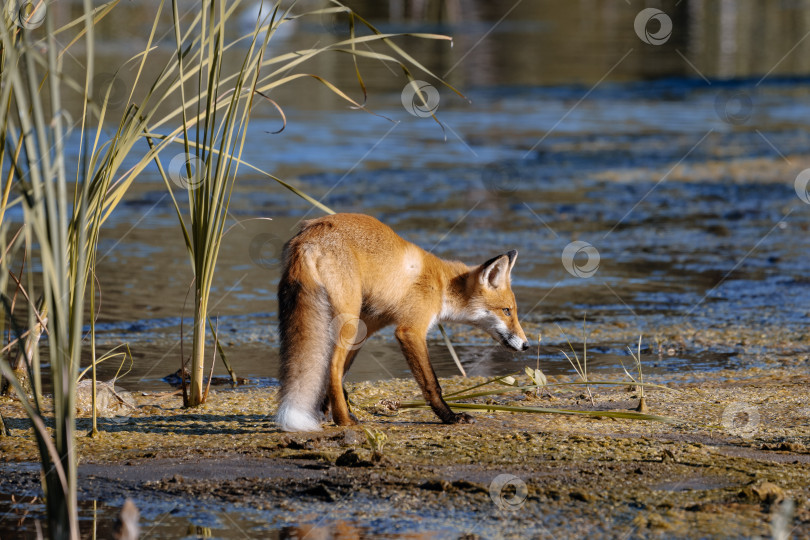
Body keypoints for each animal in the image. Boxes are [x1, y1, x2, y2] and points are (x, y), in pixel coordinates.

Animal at [276, 212, 532, 430]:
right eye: (507, 311)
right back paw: (344, 421)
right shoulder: (410, 330)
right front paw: (450, 416)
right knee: (332, 368)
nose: (526, 344)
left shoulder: (368, 325)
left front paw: (322, 411)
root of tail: (309, 236)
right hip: (346, 319)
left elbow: (344, 375)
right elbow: (432, 383)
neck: (442, 285)